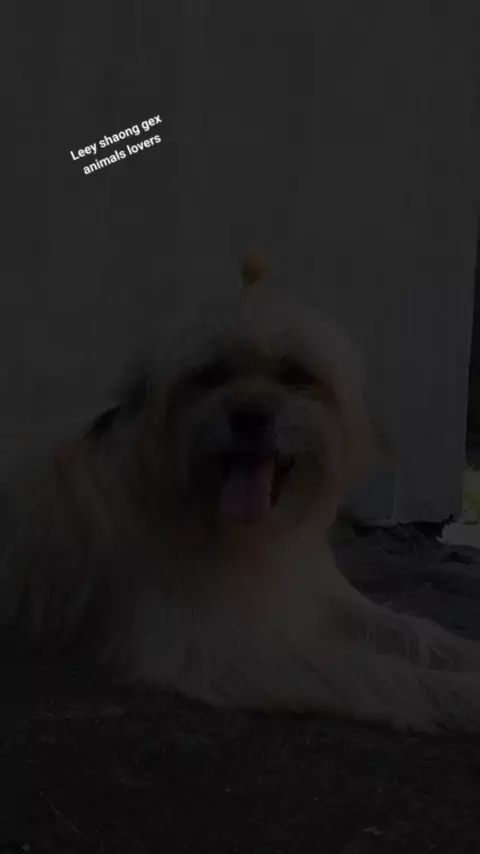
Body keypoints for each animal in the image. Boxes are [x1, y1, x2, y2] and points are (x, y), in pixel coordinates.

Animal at [3, 253, 480, 732]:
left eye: (295, 374)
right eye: (211, 374)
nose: (249, 417)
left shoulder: (313, 592)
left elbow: (412, 629)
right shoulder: (220, 649)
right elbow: (369, 669)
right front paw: (461, 693)